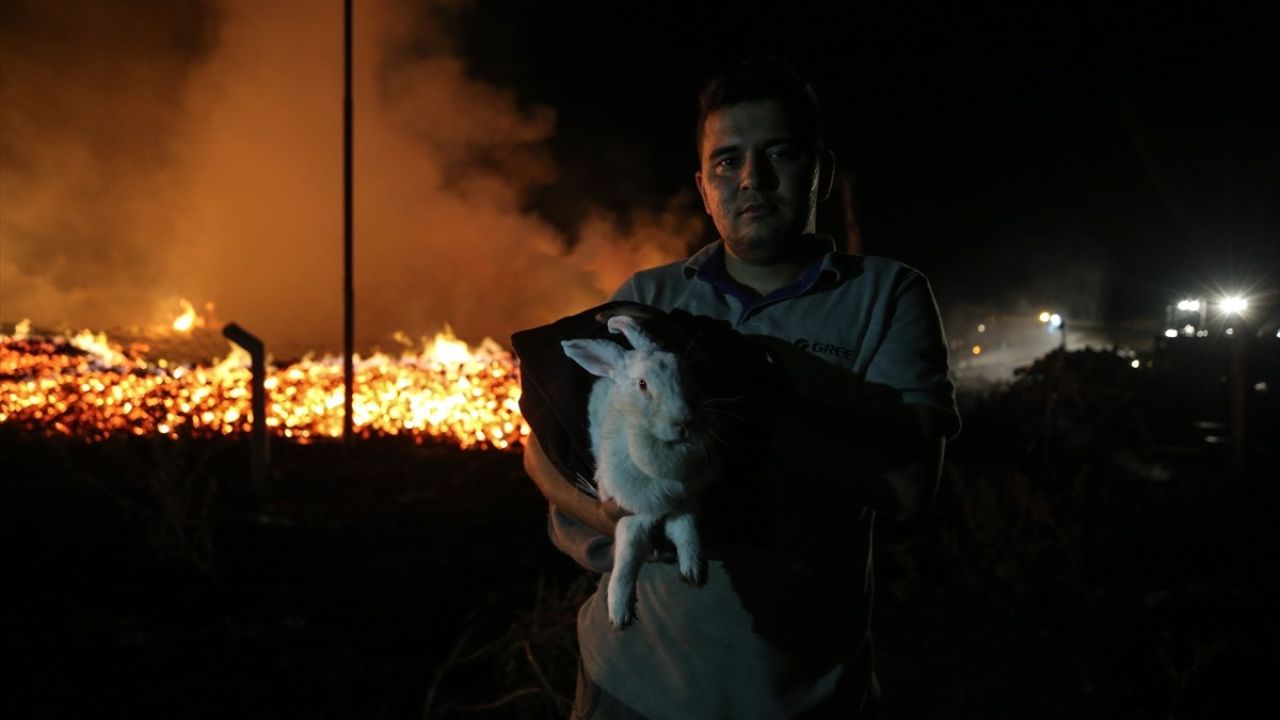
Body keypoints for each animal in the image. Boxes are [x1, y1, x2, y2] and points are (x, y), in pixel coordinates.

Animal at [560, 316, 721, 625]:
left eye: (685, 372)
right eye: (643, 385)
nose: (685, 422)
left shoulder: (684, 503)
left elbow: (687, 532)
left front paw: (693, 571)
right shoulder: (632, 515)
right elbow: (627, 557)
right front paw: (619, 612)